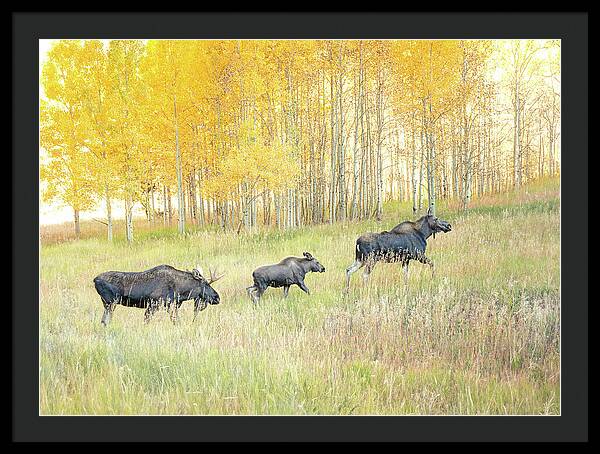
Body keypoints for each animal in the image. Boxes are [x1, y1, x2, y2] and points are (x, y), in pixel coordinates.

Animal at [92, 264, 224, 324]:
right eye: (206, 284)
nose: (217, 297)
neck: (180, 290)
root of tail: (94, 280)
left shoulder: (169, 305)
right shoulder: (154, 304)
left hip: (108, 304)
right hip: (110, 303)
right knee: (105, 320)